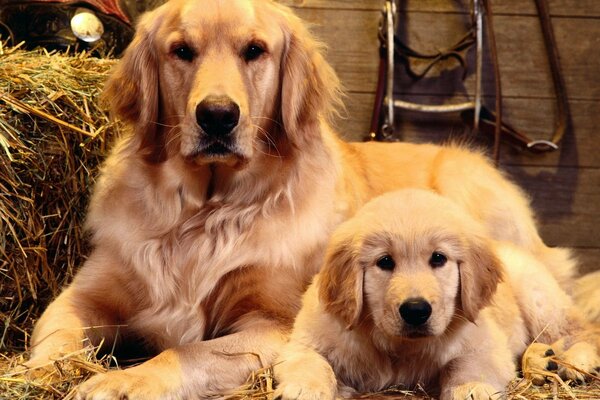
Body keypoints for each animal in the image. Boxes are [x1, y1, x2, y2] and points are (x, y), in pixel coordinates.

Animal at [276, 189, 600, 398]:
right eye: (385, 261)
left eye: (438, 258)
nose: (416, 310)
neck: (398, 347)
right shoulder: (307, 339)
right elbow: (311, 362)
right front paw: (303, 388)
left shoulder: (486, 344)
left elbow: (464, 363)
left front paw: (471, 389)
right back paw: (543, 360)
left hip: (539, 297)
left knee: (581, 331)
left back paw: (576, 361)